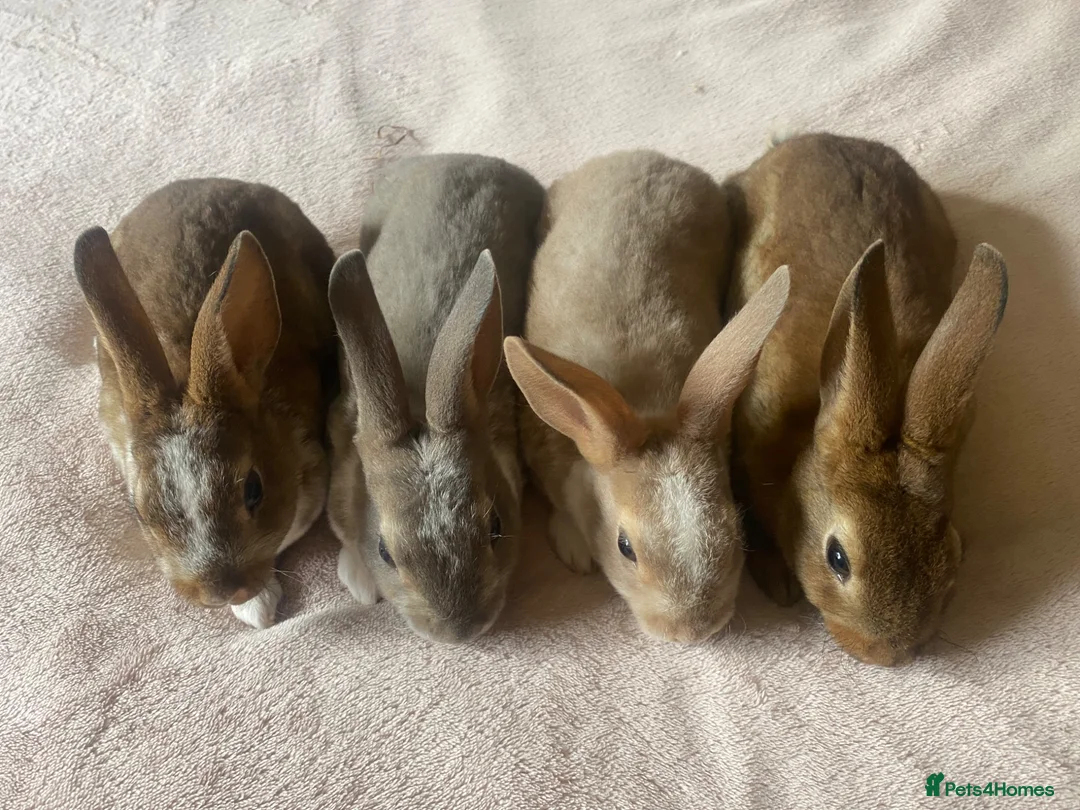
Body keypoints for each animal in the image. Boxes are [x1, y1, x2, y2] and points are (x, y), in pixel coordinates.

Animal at [327, 154, 544, 644]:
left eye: (496, 528)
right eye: (385, 552)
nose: (458, 632)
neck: (416, 400)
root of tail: (467, 158)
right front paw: (359, 580)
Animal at [504, 150, 791, 643]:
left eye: (735, 526)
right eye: (625, 548)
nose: (691, 632)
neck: (648, 408)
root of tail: (646, 156)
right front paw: (574, 549)